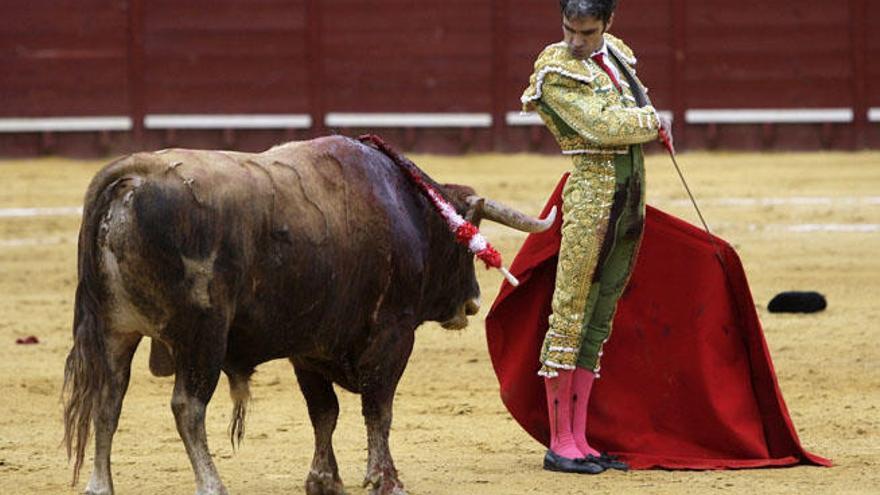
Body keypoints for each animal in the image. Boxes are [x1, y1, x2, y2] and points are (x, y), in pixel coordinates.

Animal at [62, 137, 552, 495]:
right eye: (464, 243)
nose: (472, 302)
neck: (409, 210)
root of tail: (132, 175)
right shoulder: (393, 336)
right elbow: (378, 408)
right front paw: (385, 479)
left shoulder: (309, 349)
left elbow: (324, 413)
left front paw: (324, 480)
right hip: (202, 336)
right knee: (187, 406)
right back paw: (211, 484)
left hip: (115, 331)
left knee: (107, 400)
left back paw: (100, 486)